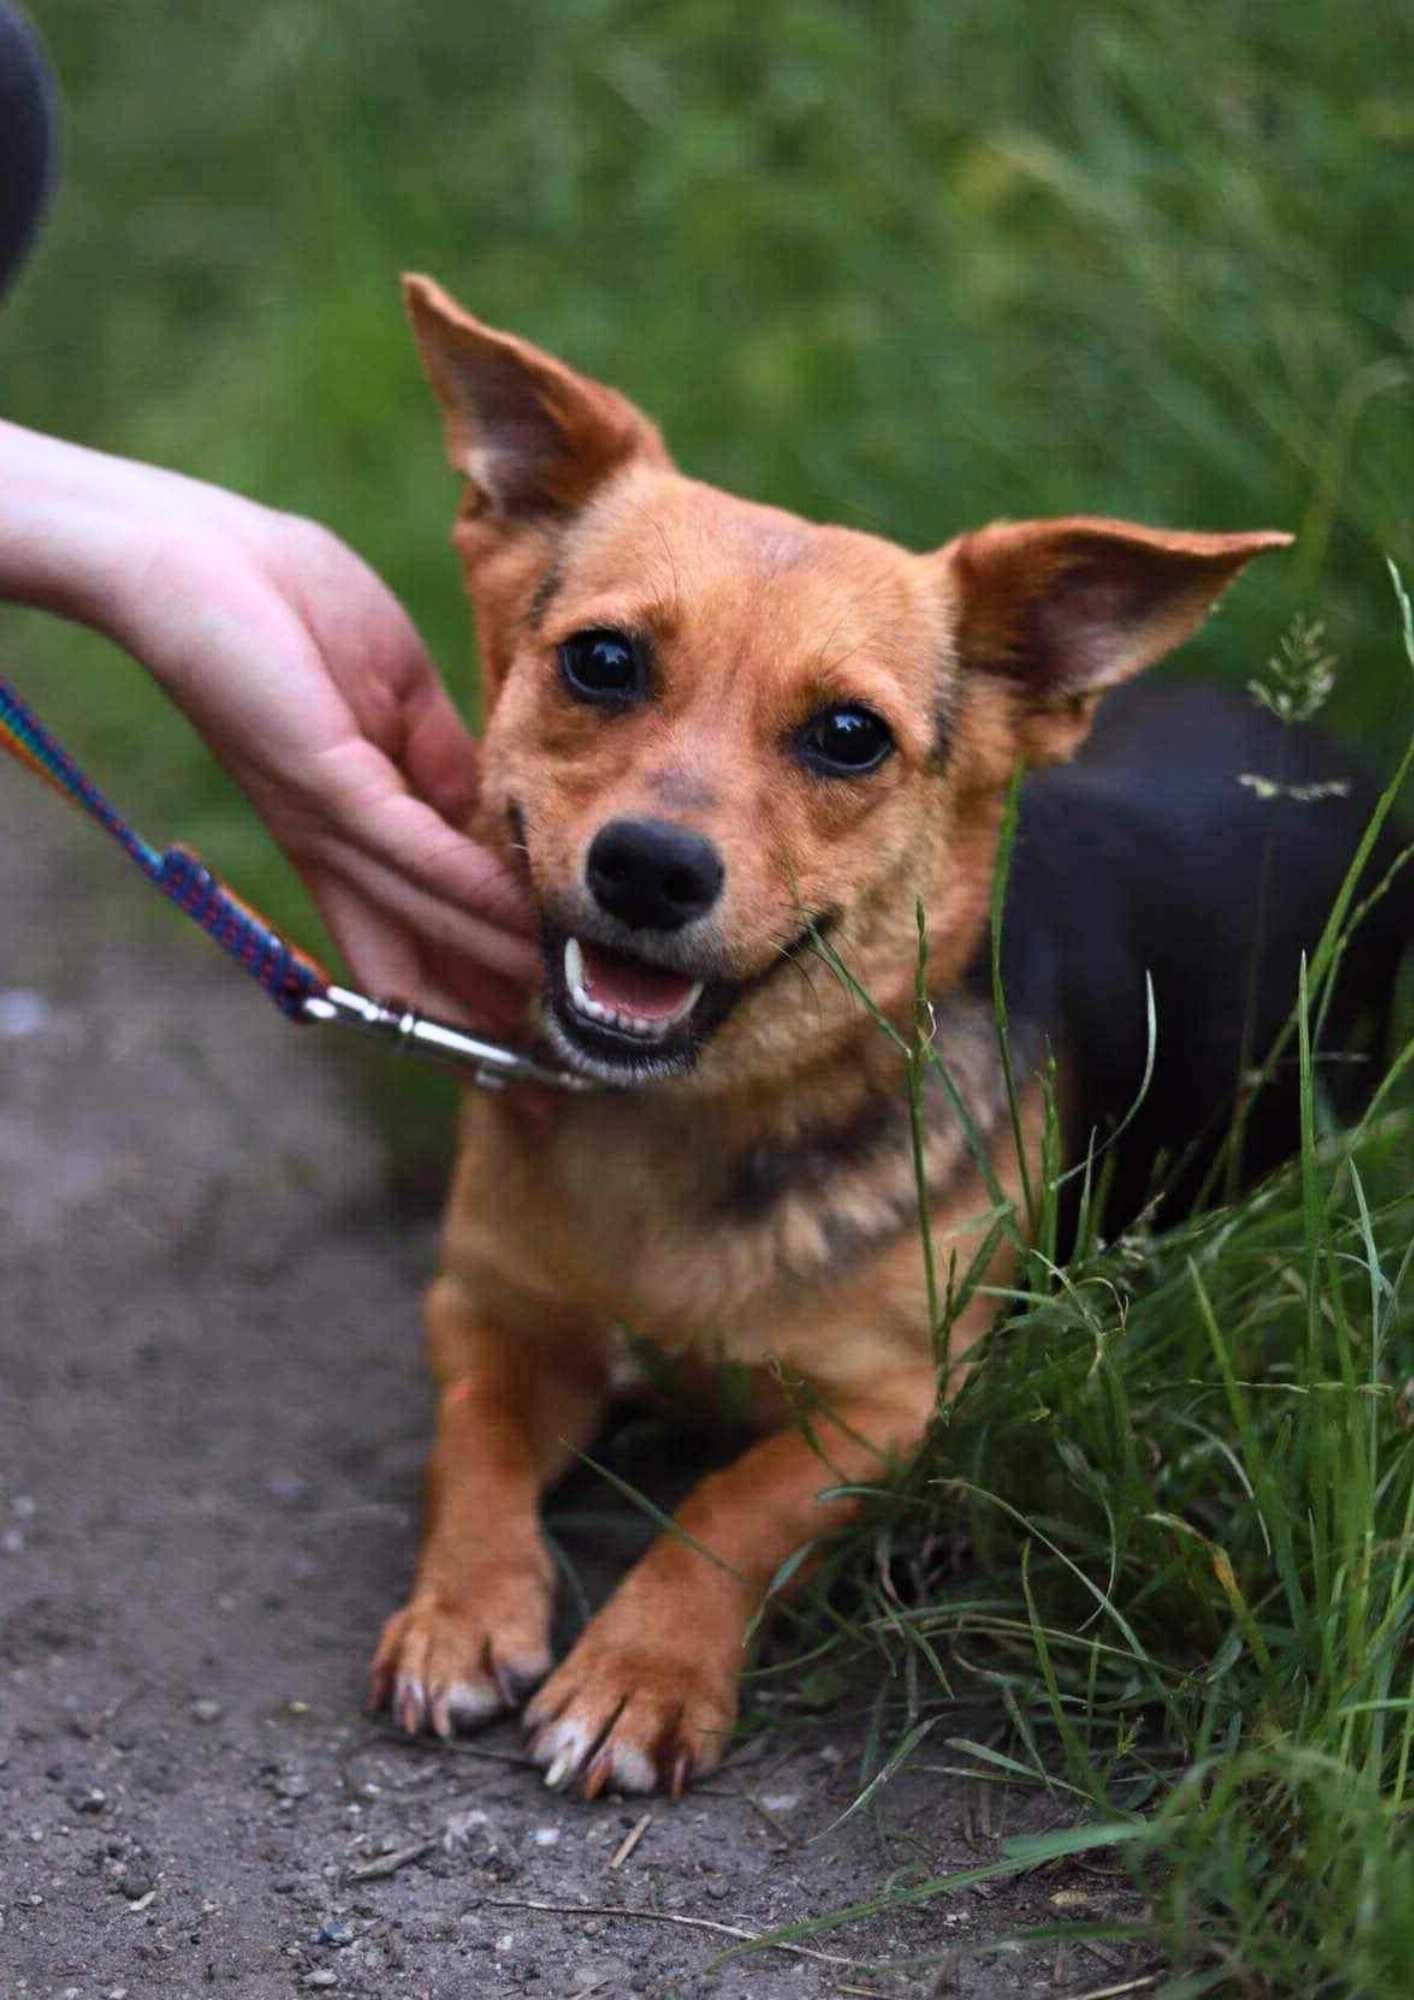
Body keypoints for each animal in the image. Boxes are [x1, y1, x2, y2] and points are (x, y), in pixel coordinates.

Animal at [366, 278, 1296, 1800]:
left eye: (849, 735)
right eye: (601, 661)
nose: (651, 869)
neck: (678, 1121)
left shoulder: (897, 1405)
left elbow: (732, 1503)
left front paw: (637, 1673)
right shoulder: (487, 1312)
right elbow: (474, 1445)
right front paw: (463, 1607)